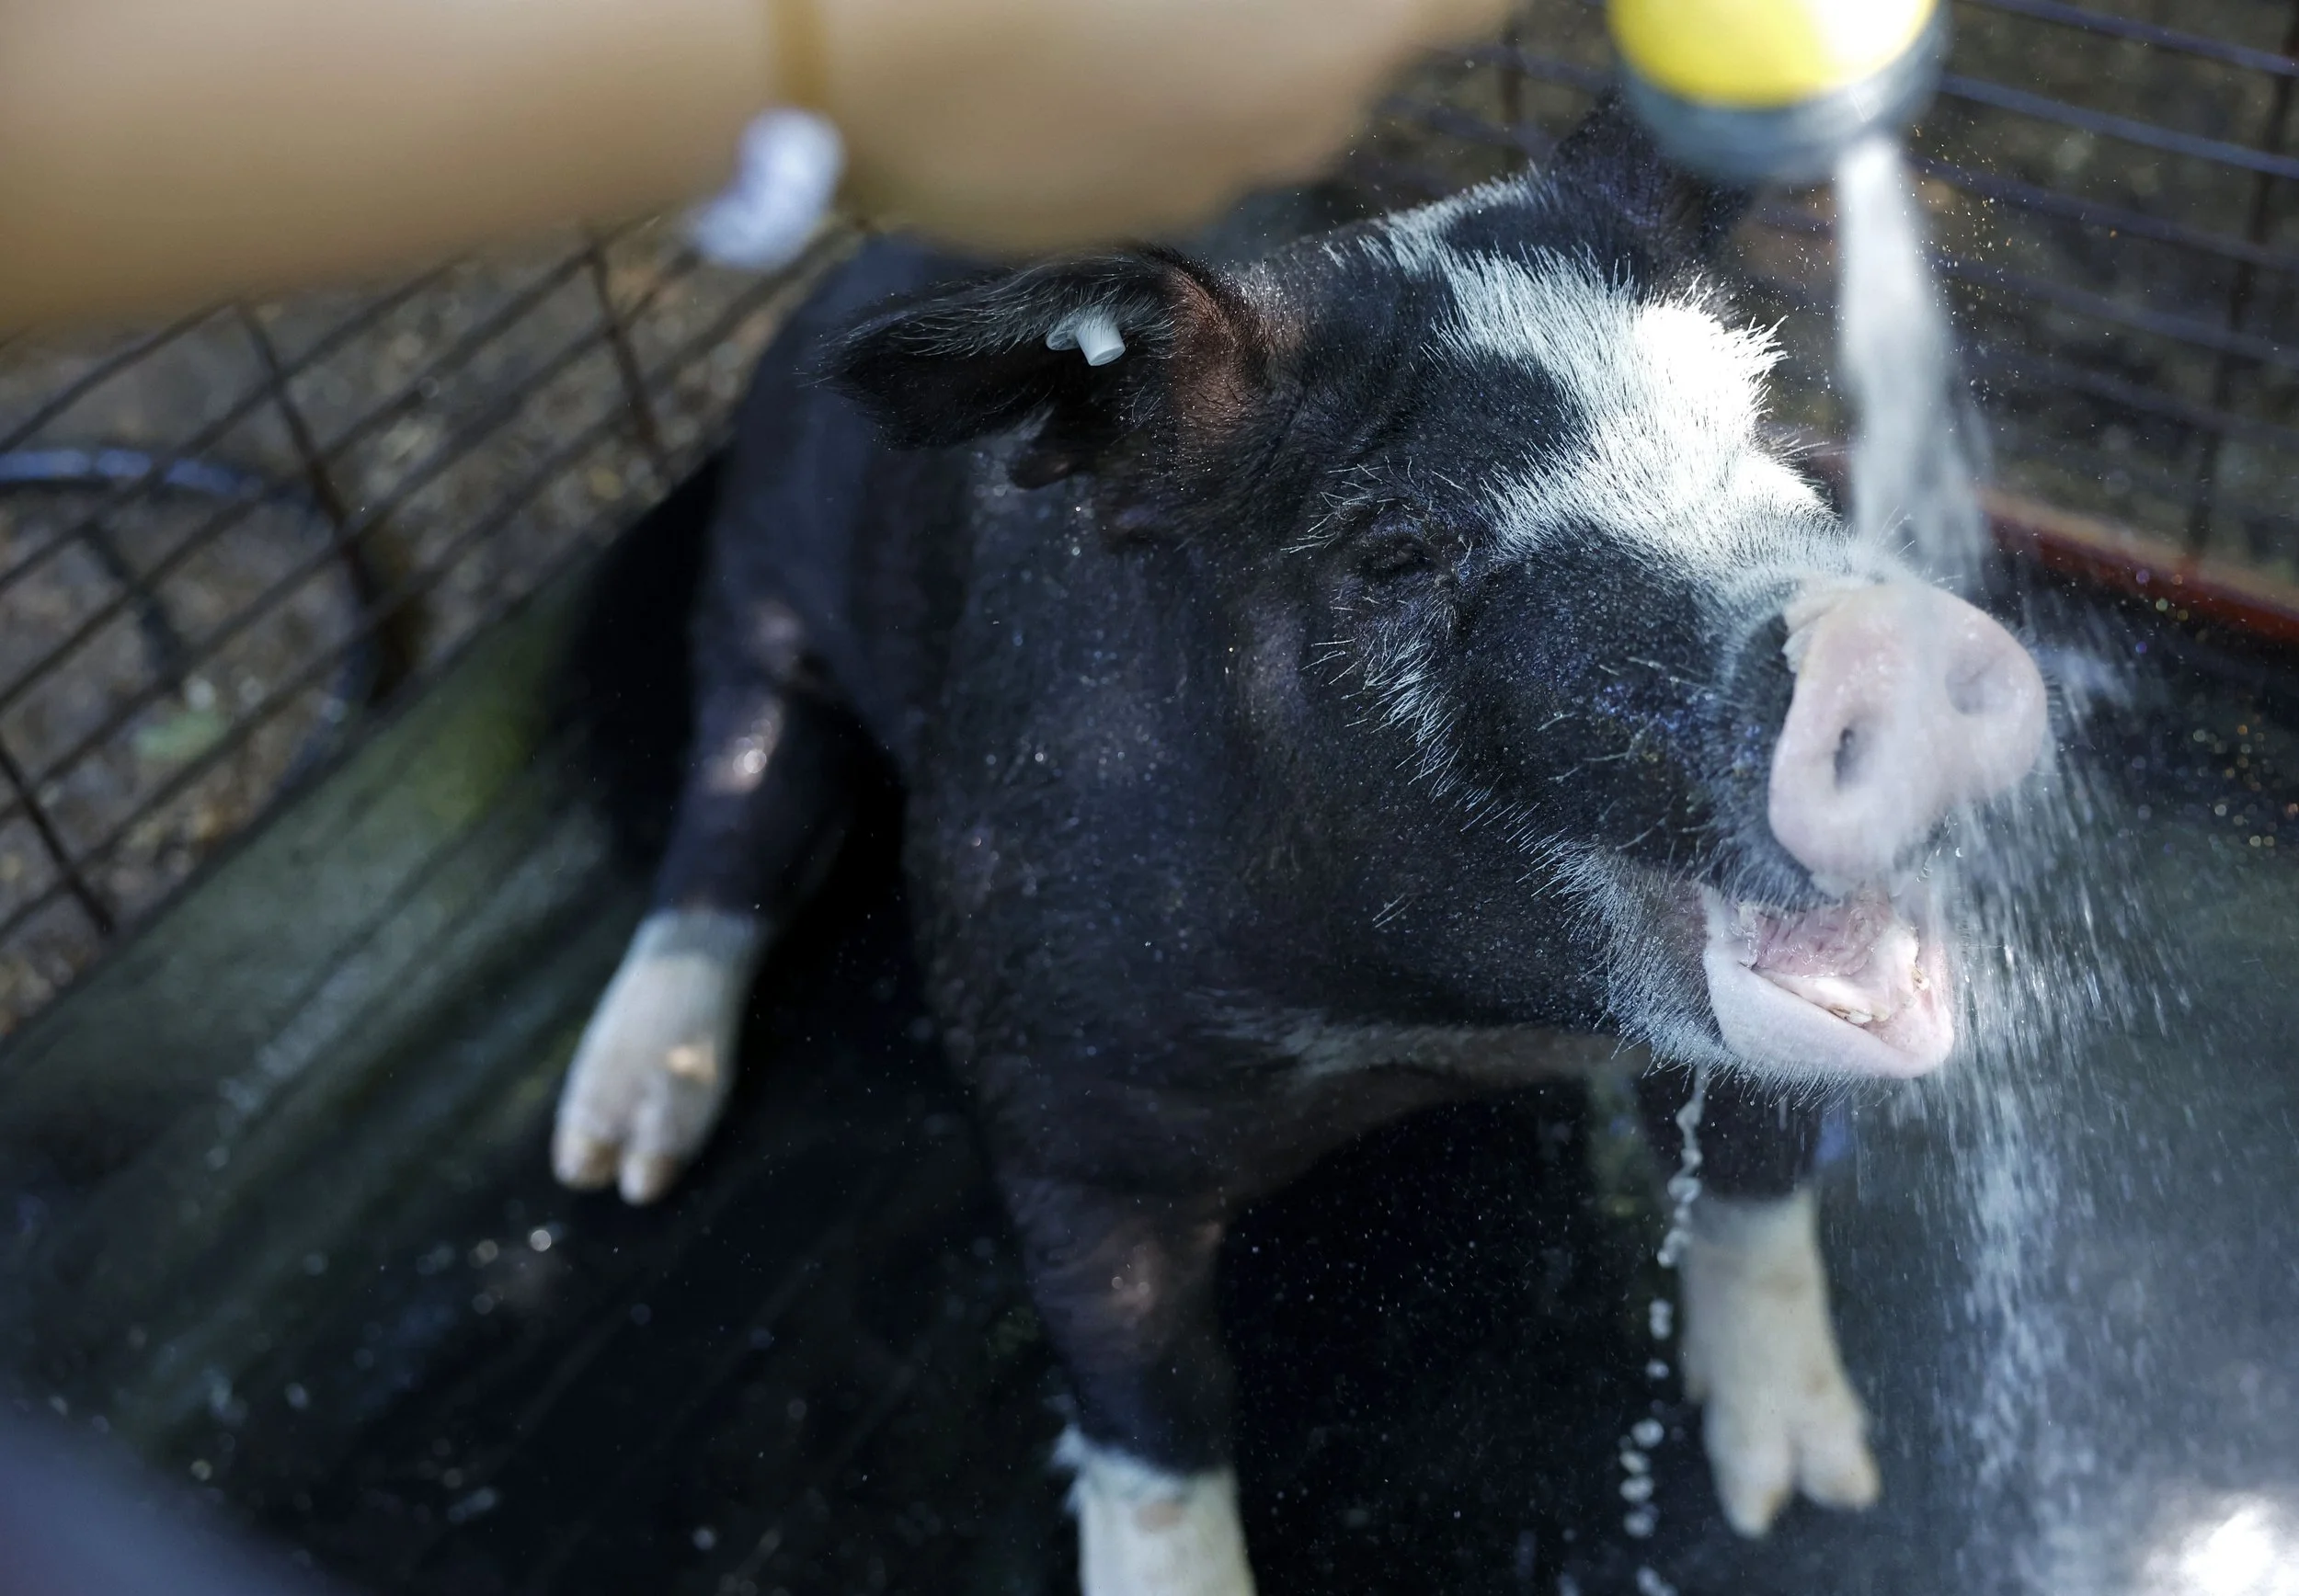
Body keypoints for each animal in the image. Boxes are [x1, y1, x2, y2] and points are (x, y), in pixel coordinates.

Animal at [550, 97, 2047, 1594]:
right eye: (1394, 548)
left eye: (1754, 413)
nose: (1879, 644)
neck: (1431, 1030)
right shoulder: (1045, 1083)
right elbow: (1151, 1413)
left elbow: (1756, 1181)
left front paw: (1807, 1497)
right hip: (754, 584)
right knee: (735, 803)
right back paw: (612, 1155)